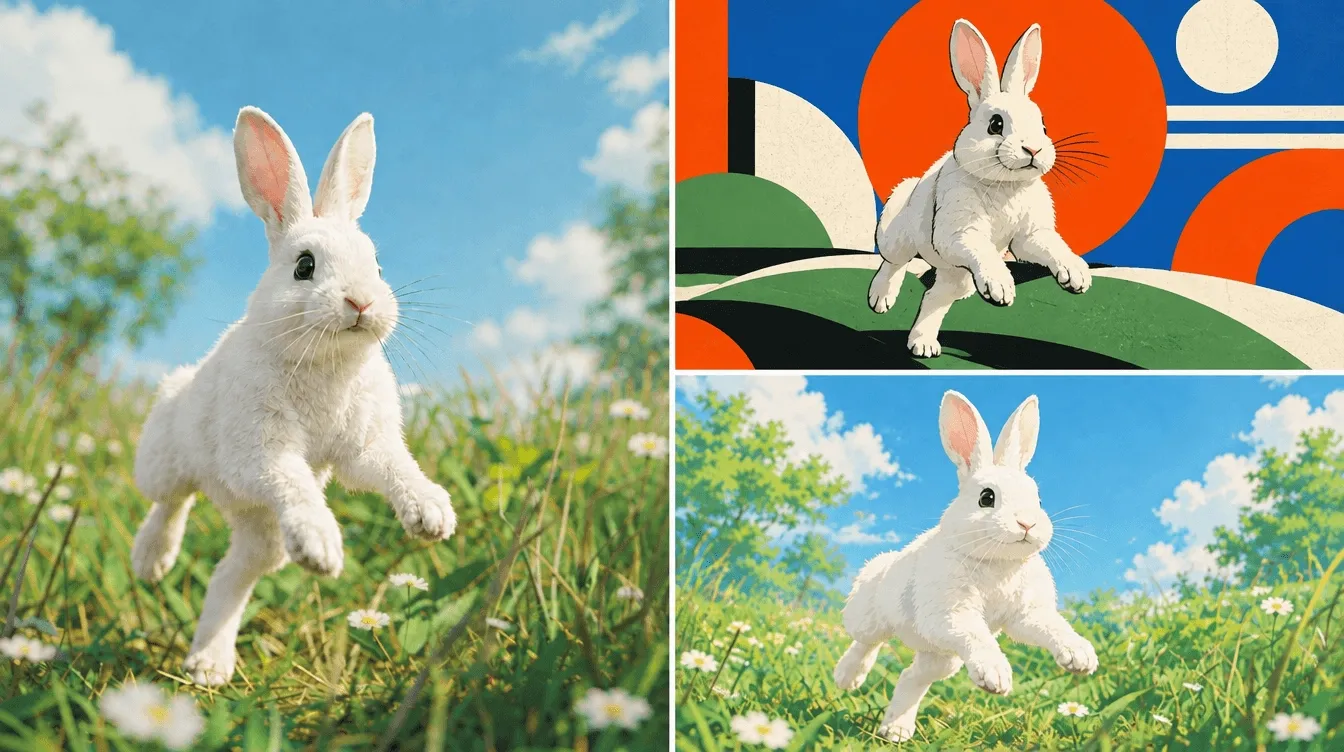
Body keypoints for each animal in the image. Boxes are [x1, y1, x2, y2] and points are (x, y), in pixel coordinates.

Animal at [130, 106, 456, 687]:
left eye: (378, 265)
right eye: (304, 266)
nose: (361, 302)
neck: (327, 361)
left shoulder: (364, 449)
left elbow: (394, 468)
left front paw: (432, 515)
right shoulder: (261, 451)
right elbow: (294, 481)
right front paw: (323, 549)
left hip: (262, 531)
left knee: (232, 574)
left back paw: (209, 664)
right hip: (167, 459)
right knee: (170, 501)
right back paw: (152, 561)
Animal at [833, 390, 1096, 743]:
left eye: (1038, 499)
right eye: (987, 497)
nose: (1027, 523)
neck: (998, 562)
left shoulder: (1026, 615)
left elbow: (1053, 627)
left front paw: (1081, 657)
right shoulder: (952, 614)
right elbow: (978, 635)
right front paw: (997, 677)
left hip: (943, 657)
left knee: (911, 676)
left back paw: (896, 730)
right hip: (870, 615)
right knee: (866, 642)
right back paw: (847, 678)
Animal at [866, 19, 1092, 358]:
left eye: (1043, 125)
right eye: (995, 124)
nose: (1034, 149)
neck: (1005, 185)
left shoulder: (1029, 236)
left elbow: (1052, 246)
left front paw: (1077, 276)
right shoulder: (960, 233)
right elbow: (983, 249)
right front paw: (1001, 287)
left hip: (956, 274)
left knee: (934, 298)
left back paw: (924, 344)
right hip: (897, 234)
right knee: (893, 261)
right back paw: (881, 299)